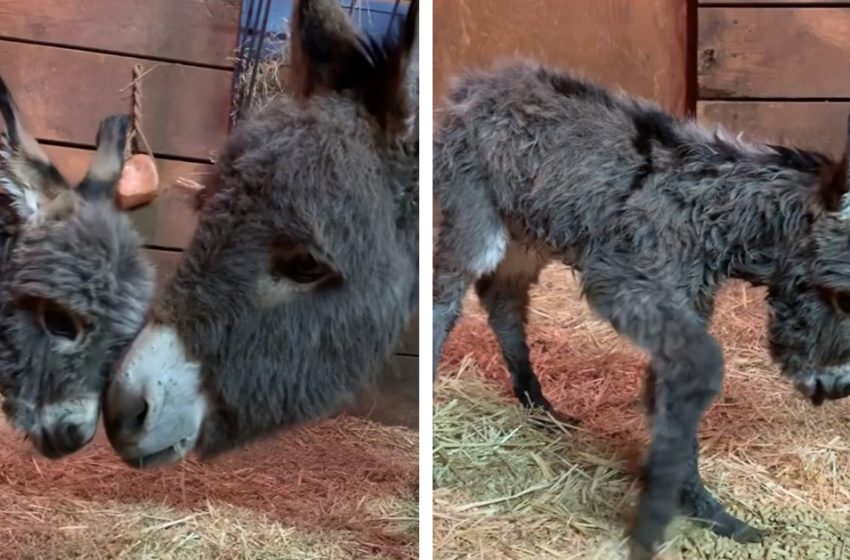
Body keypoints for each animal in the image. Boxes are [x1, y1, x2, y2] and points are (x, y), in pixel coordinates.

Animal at [434, 60, 848, 556]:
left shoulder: (686, 303)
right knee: (446, 297)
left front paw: (694, 505)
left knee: (502, 302)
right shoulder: (627, 283)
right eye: (845, 297)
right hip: (477, 220)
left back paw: (539, 406)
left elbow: (669, 394)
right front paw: (687, 512)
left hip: (526, 236)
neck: (712, 216)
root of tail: (483, 80)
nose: (839, 388)